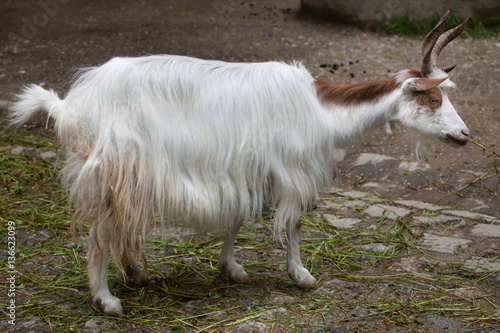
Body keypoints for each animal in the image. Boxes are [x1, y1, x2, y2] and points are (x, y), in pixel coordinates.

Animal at [6, 11, 468, 316]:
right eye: (432, 97)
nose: (464, 135)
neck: (320, 108)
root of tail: (71, 105)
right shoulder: (290, 168)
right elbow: (293, 222)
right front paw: (302, 276)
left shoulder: (247, 166)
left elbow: (236, 216)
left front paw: (232, 268)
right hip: (115, 163)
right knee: (100, 229)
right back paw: (106, 299)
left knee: (116, 223)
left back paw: (135, 274)